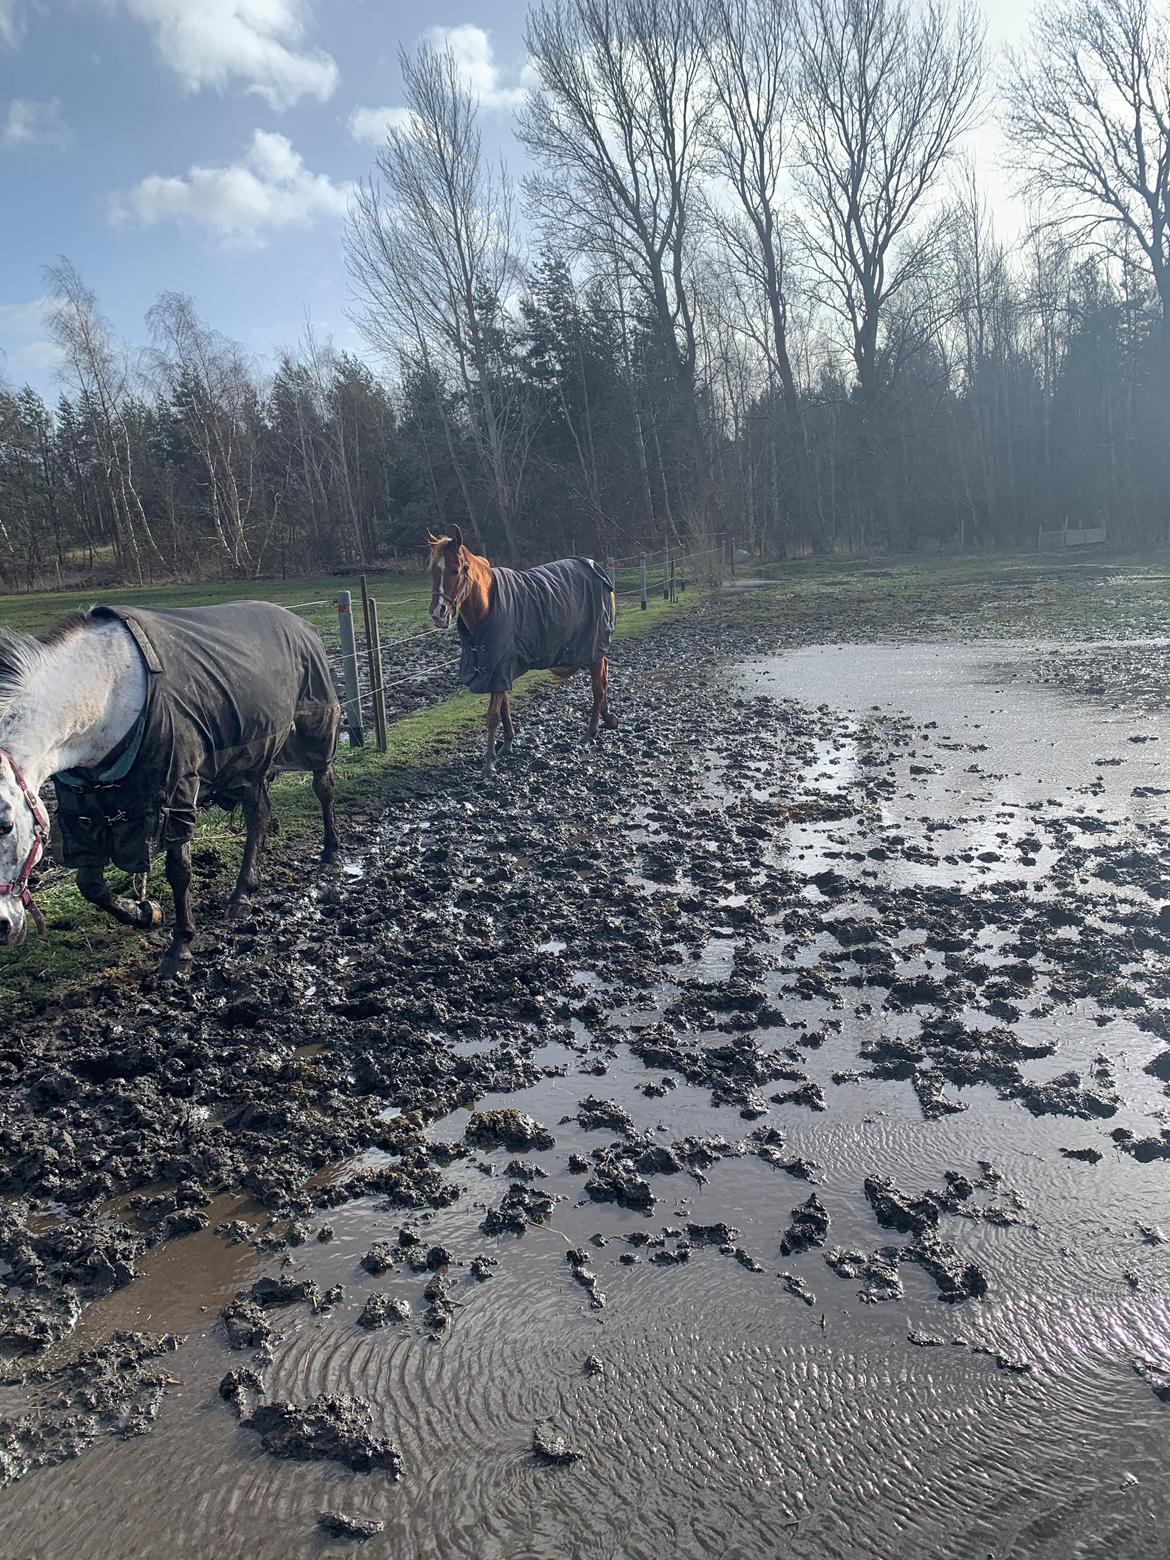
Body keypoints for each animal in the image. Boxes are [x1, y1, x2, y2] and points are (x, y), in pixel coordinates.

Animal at [427, 530, 617, 780]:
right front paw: (507, 744)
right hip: (594, 652)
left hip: (593, 647)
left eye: (455, 570)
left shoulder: (499, 669)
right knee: (603, 680)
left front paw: (489, 764)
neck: (487, 607)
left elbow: (492, 716)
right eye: (431, 570)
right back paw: (607, 718)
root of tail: (595, 568)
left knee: (598, 687)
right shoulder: (498, 669)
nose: (438, 612)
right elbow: (504, 708)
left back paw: (590, 731)